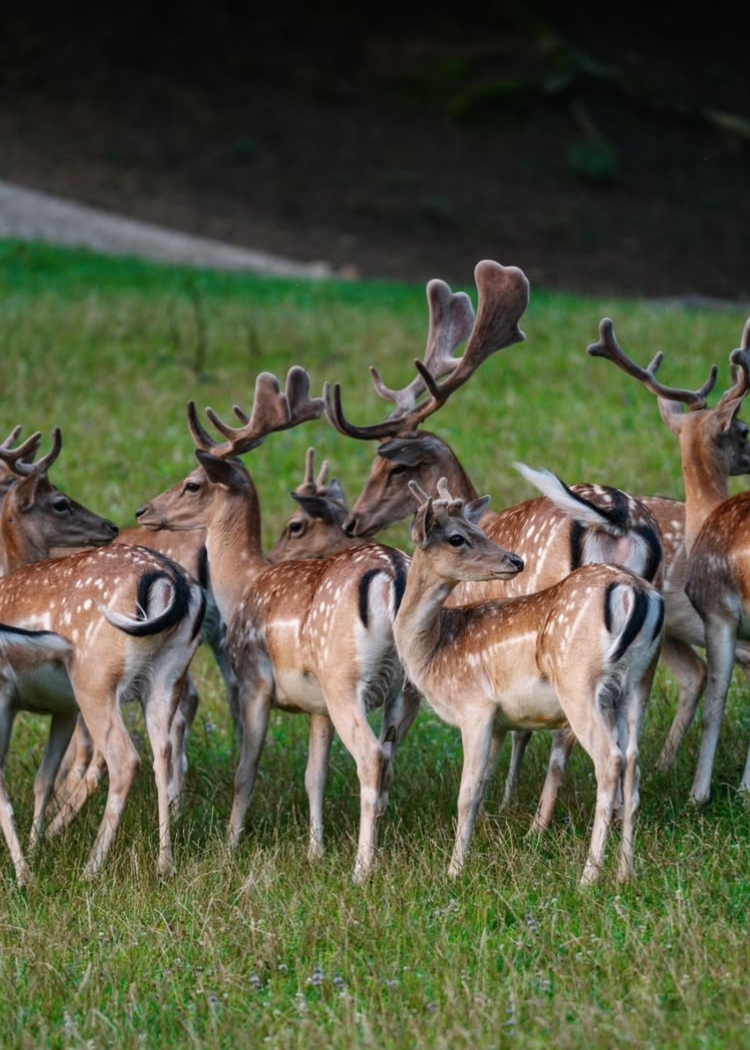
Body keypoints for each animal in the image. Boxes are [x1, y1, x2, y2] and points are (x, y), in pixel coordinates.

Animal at [0, 428, 204, 886]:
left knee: (125, 759)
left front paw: (26, 871)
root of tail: (170, 581)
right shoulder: (58, 706)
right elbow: (43, 777)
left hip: (95, 677)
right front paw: (37, 849)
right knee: (163, 753)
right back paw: (164, 863)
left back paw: (92, 868)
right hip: (166, 677)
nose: (109, 525)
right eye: (60, 503)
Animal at [135, 365, 424, 881]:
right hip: (405, 689)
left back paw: (362, 869)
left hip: (344, 677)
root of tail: (396, 571)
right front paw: (314, 850)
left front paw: (230, 847)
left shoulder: (253, 680)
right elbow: (314, 776)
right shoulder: (316, 706)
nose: (144, 511)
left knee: (372, 756)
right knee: (390, 756)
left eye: (193, 483)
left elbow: (245, 770)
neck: (244, 582)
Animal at [323, 258, 663, 823]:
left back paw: (541, 824)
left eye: (392, 467)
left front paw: (499, 799)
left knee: (577, 737)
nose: (352, 522)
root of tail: (616, 516)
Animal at [394, 480, 663, 886]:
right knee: (632, 763)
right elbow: (485, 783)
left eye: (474, 530)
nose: (515, 561)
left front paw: (454, 870)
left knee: (610, 759)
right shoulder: (499, 722)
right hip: (638, 682)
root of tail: (637, 592)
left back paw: (588, 877)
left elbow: (466, 794)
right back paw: (624, 872)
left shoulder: (475, 705)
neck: (434, 654)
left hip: (579, 682)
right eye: (458, 537)